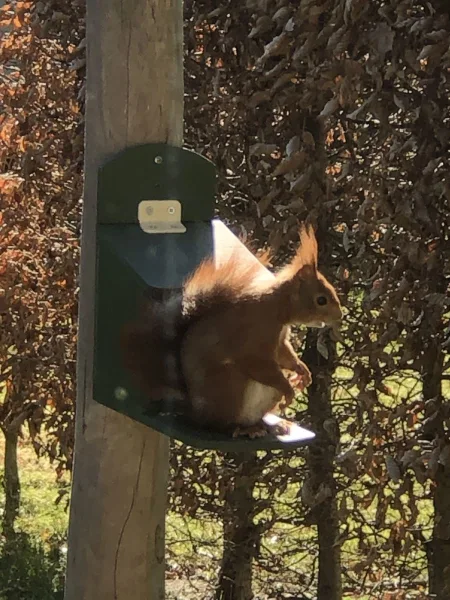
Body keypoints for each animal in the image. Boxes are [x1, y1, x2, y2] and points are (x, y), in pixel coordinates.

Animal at [119, 225, 342, 436]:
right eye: (321, 300)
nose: (339, 315)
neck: (277, 309)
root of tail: (196, 413)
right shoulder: (255, 336)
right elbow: (259, 364)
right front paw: (289, 390)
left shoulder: (279, 341)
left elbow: (284, 355)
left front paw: (303, 371)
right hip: (231, 387)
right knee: (222, 424)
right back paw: (241, 429)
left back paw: (269, 426)